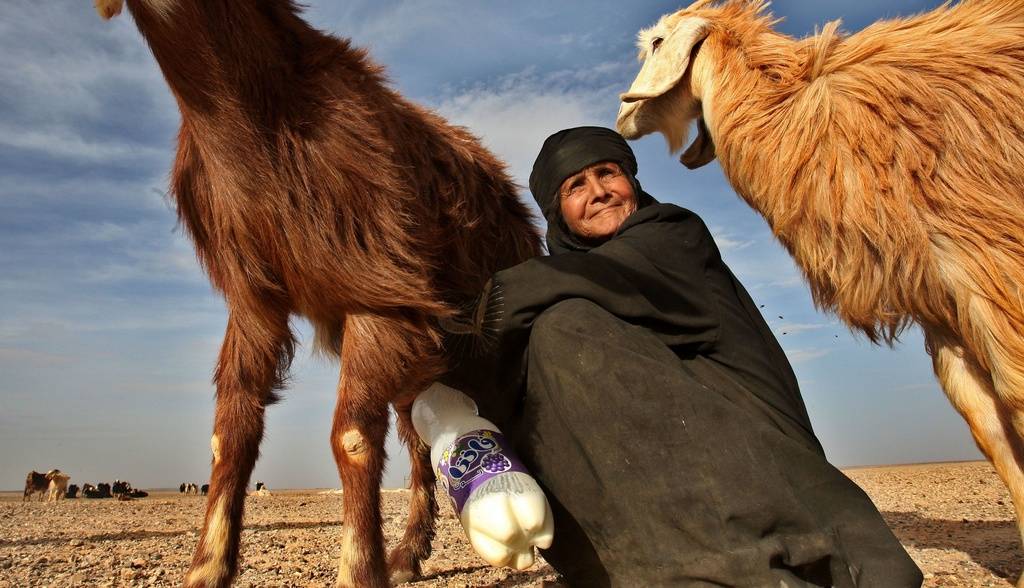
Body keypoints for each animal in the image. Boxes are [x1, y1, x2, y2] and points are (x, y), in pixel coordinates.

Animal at [96, 2, 544, 585]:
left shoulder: (381, 286)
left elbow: (351, 437)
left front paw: (358, 570)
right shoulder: (253, 297)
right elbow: (230, 433)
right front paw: (206, 568)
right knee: (418, 441)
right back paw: (408, 554)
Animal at [614, 0, 1024, 581]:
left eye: (656, 41)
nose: (621, 113)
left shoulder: (992, 264)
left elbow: (1015, 400)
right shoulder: (945, 304)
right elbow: (986, 423)